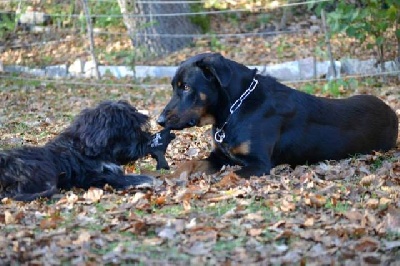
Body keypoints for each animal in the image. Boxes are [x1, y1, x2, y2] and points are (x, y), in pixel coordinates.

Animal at [0, 101, 175, 201]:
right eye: (131, 130)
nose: (148, 139)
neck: (85, 148)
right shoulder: (95, 176)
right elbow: (128, 178)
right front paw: (150, 180)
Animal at [158, 53, 398, 179]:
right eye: (174, 86)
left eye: (186, 87)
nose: (159, 120)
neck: (233, 110)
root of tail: (391, 111)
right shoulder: (219, 156)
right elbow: (188, 164)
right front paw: (168, 178)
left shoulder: (259, 163)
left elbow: (228, 175)